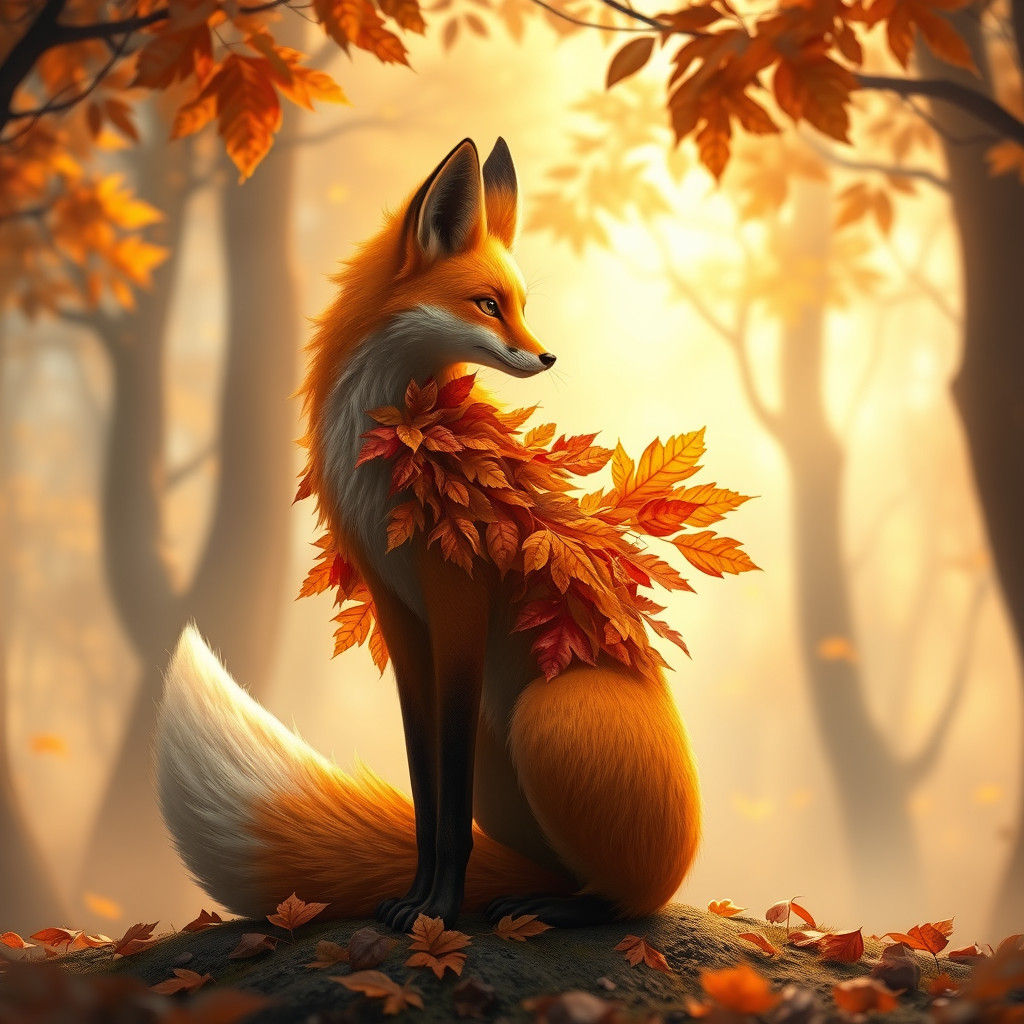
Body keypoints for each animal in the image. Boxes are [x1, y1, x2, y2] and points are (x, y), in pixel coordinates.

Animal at [155, 138, 701, 931]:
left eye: (521, 307)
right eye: (488, 304)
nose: (548, 357)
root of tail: (680, 862)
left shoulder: (460, 601)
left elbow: (448, 812)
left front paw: (439, 910)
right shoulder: (402, 617)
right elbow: (426, 796)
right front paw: (416, 899)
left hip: (545, 719)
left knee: (624, 900)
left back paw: (552, 908)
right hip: (503, 761)